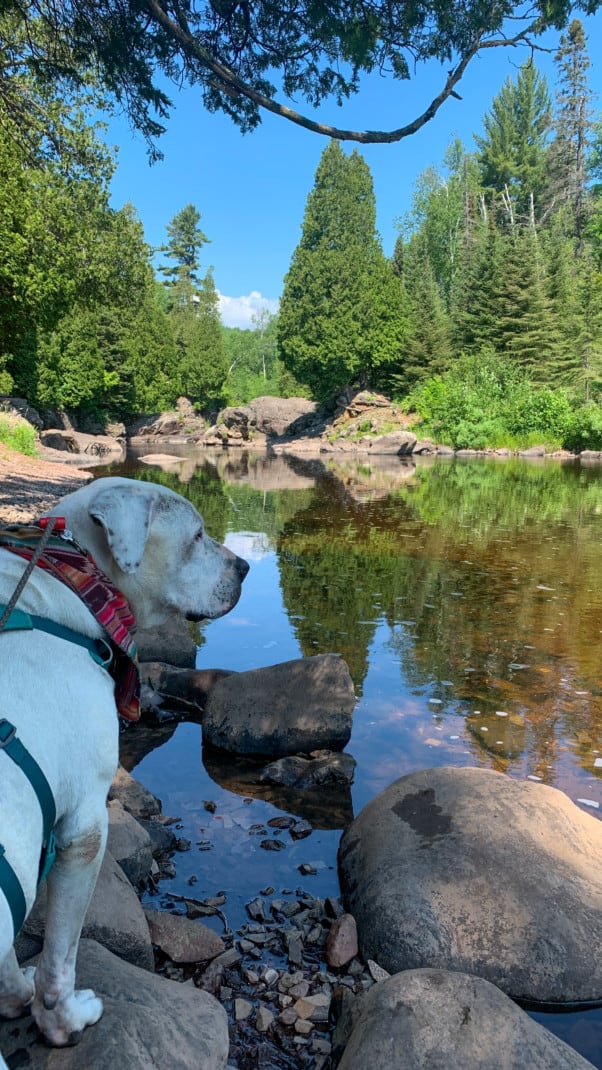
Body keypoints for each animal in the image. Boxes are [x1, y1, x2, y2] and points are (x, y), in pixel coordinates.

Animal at [0, 479, 247, 1061]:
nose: (246, 566)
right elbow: (59, 961)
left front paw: (15, 996)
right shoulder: (84, 829)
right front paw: (63, 1022)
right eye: (197, 535)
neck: (73, 579)